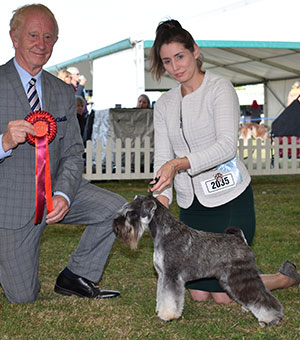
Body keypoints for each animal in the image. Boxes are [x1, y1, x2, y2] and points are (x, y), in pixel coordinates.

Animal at [113, 194, 284, 326]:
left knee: (263, 296)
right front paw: (160, 310)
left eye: (130, 213)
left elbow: (170, 298)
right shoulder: (163, 276)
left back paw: (270, 318)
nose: (115, 225)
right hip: (228, 280)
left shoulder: (172, 276)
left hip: (242, 275)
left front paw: (167, 316)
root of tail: (240, 238)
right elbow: (162, 295)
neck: (165, 233)